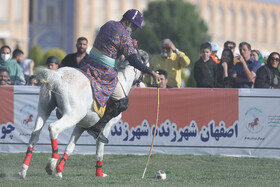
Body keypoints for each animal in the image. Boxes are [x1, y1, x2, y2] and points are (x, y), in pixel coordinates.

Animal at [18, 50, 149, 179]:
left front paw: (59, 171)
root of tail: (57, 77)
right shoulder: (105, 128)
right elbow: (100, 151)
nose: (144, 79)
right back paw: (52, 162)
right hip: (72, 115)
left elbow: (70, 147)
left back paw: (23, 170)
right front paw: (99, 173)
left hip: (44, 110)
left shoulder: (81, 126)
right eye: (146, 63)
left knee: (35, 135)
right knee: (54, 128)